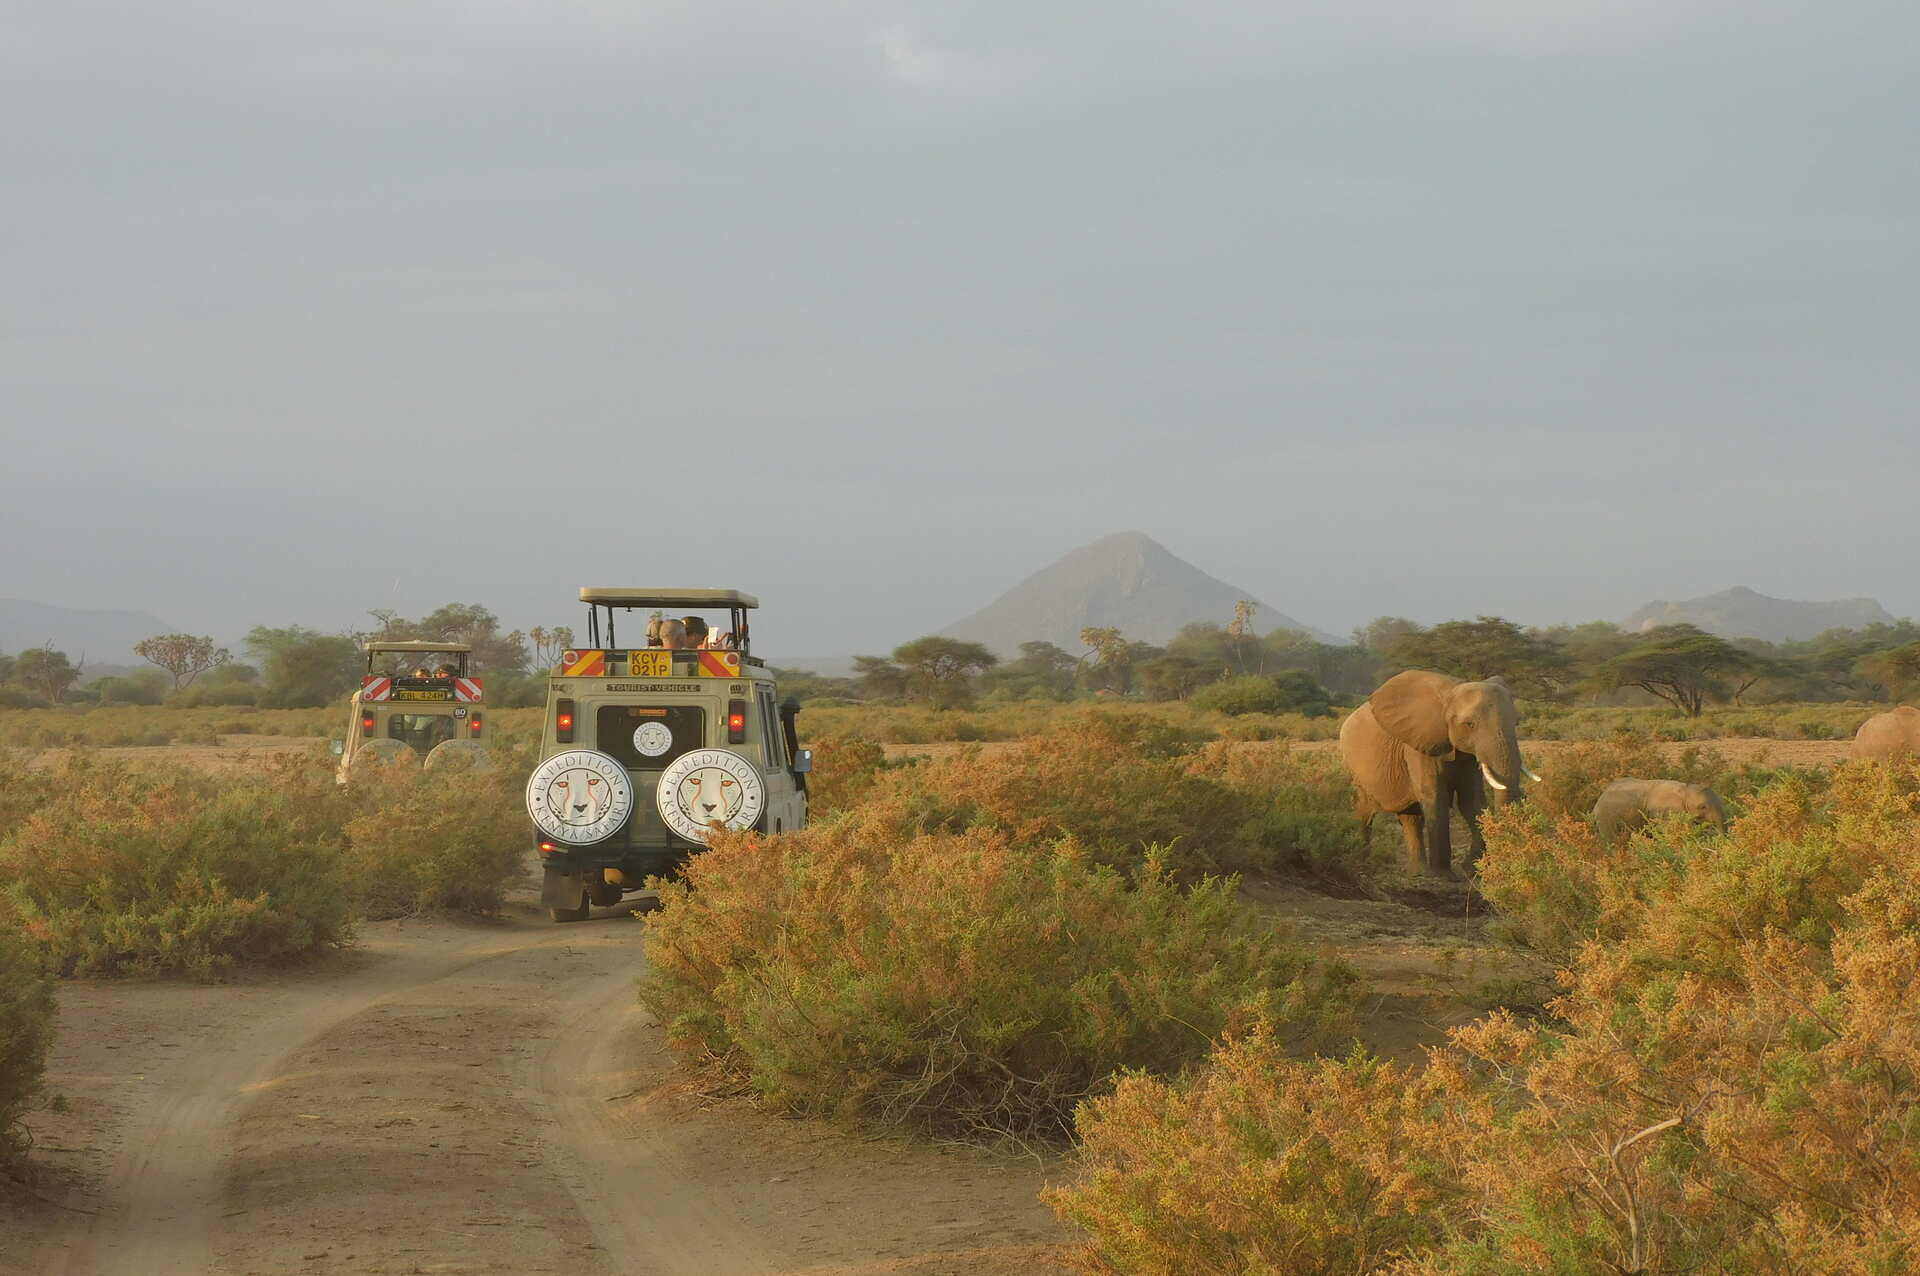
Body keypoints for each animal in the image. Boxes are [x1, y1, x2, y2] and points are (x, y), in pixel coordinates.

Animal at [1344, 667, 1536, 874]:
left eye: (1516, 722)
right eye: (1470, 724)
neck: (1452, 691)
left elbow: (1471, 800)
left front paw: (1471, 869)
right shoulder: (1419, 744)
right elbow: (1435, 797)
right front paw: (1444, 874)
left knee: (1410, 818)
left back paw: (1418, 872)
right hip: (1354, 768)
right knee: (1365, 811)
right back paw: (1363, 863)